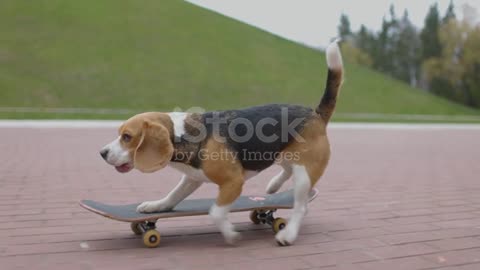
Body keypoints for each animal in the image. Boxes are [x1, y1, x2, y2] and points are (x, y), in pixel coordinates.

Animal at [99, 41, 344, 246]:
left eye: (127, 137)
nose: (102, 153)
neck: (181, 134)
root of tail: (315, 113)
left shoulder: (233, 182)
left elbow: (215, 212)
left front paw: (230, 234)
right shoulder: (192, 177)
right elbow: (173, 195)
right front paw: (156, 206)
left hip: (304, 172)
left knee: (301, 206)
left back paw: (288, 234)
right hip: (282, 155)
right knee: (286, 170)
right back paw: (274, 185)